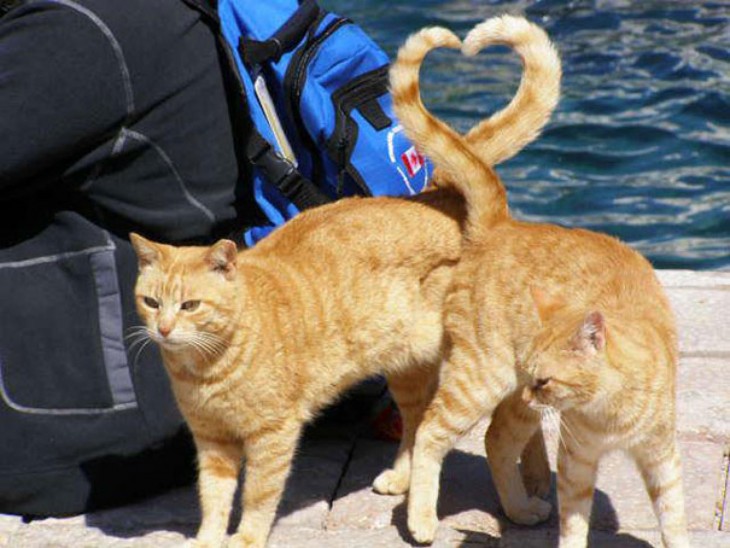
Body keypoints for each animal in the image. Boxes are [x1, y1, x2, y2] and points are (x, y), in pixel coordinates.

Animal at [390, 15, 684, 544]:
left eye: (543, 380)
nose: (529, 389)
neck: (612, 413)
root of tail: (500, 224)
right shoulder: (575, 458)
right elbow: (574, 522)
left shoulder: (662, 458)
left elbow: (674, 520)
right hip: (481, 379)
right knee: (431, 432)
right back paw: (421, 518)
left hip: (508, 402)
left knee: (495, 440)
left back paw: (519, 508)